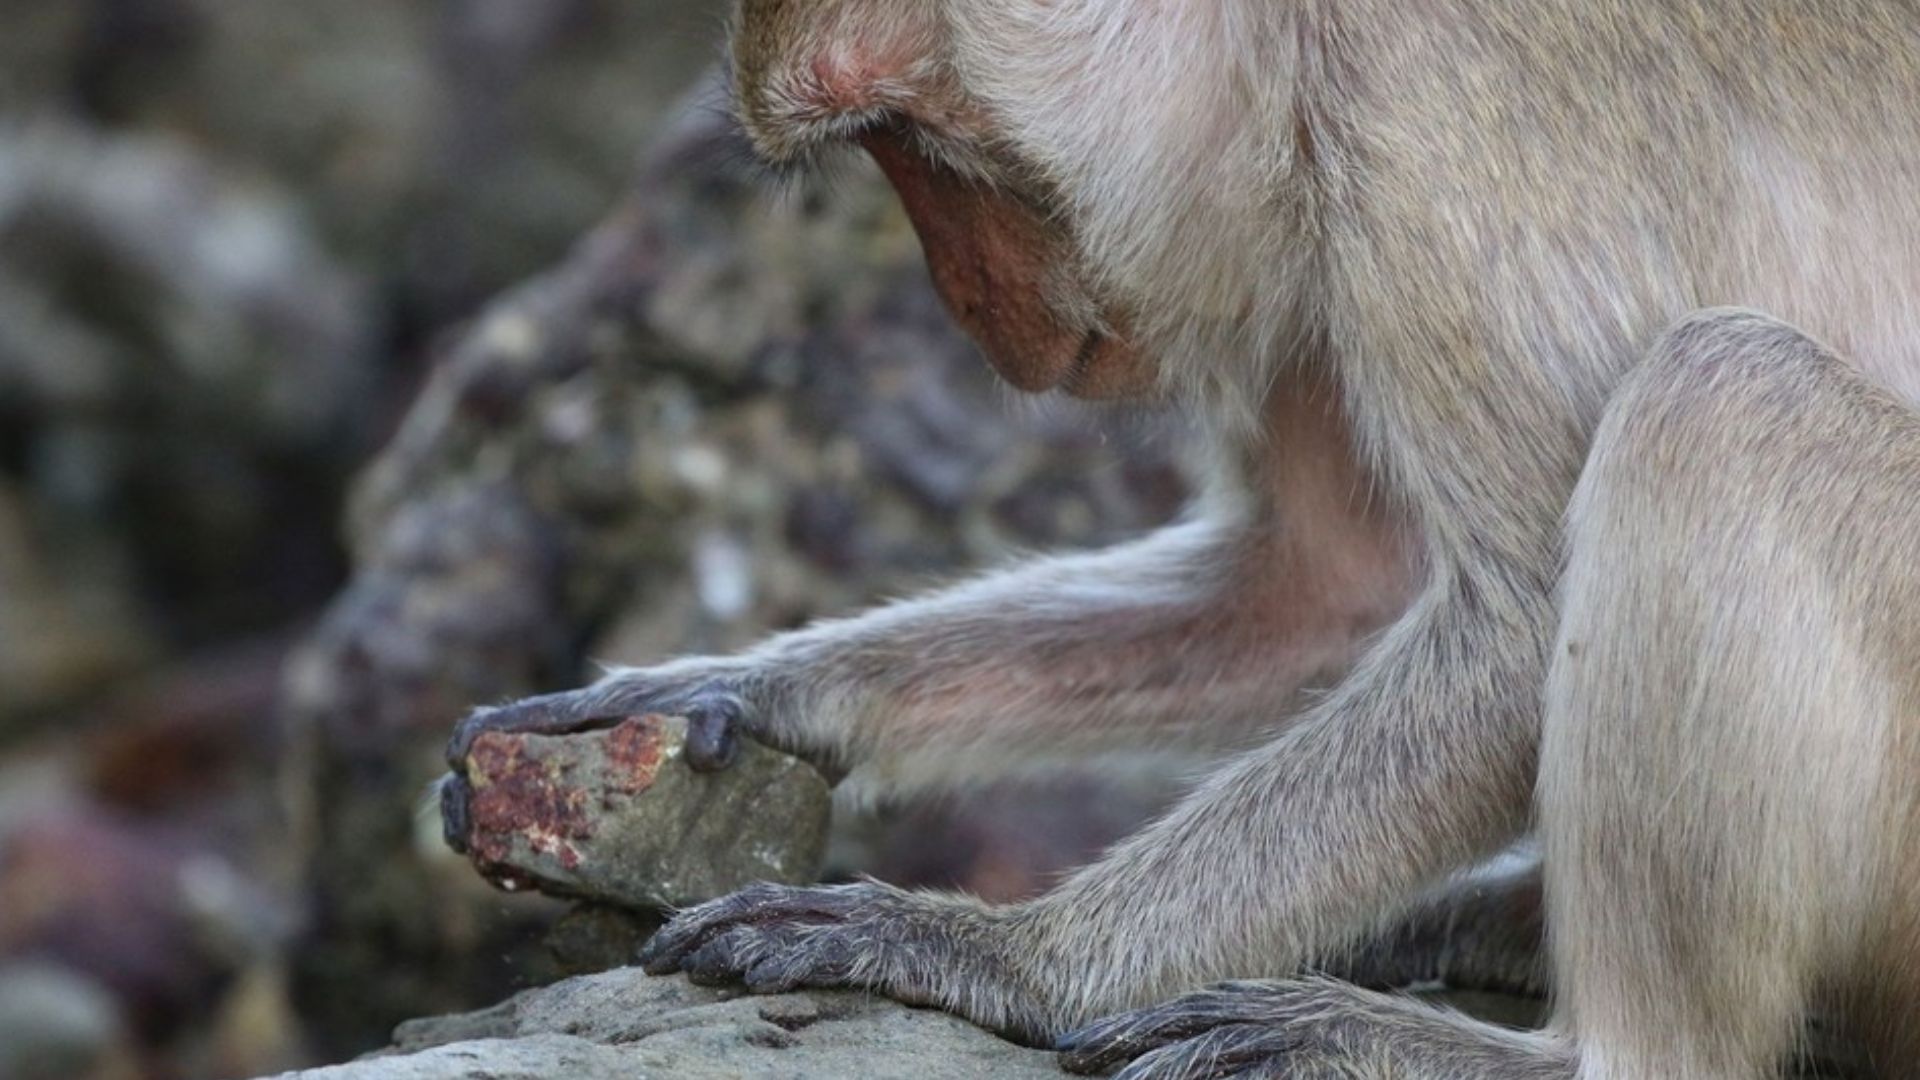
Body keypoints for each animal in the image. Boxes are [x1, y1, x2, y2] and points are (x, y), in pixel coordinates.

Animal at [438, 2, 1920, 1076]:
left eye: (903, 132)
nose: (962, 304)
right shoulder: (1297, 198)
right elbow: (1323, 591)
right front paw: (755, 689)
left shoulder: (1419, 108)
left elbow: (1512, 634)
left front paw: (1002, 956)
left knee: (1719, 399)